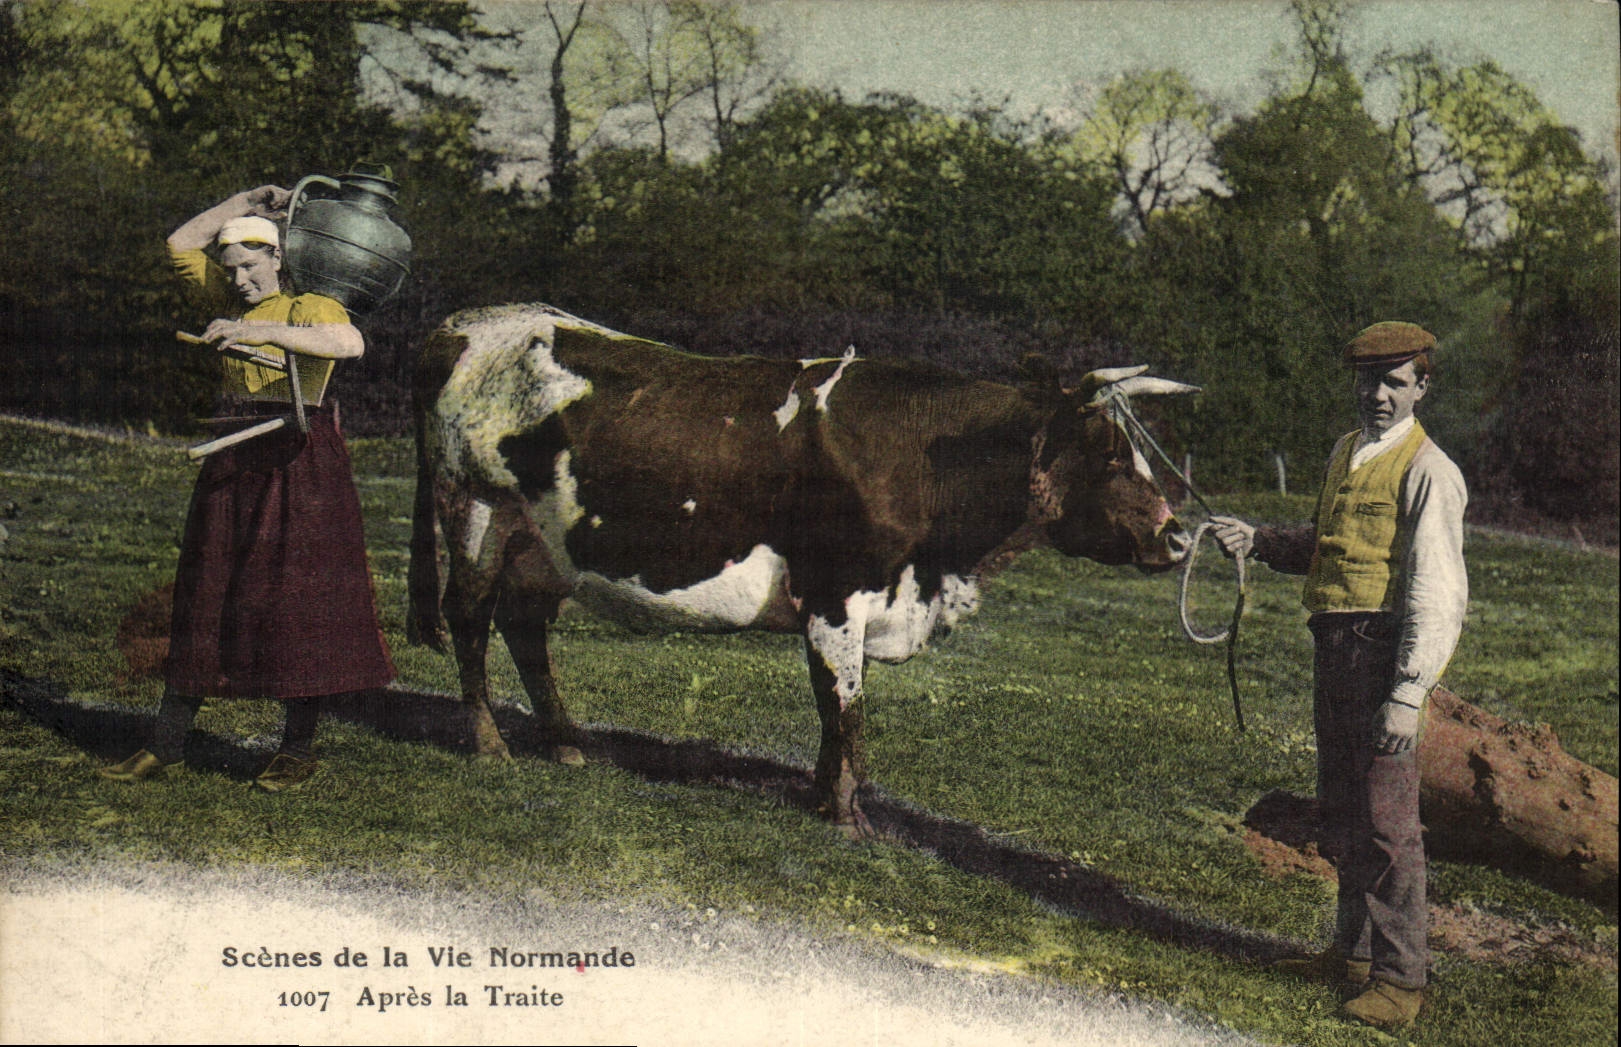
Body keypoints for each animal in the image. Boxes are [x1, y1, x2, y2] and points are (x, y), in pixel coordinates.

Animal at [408, 304, 1196, 832]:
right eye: (1107, 453)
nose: (1177, 536)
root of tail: (465, 324)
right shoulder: (835, 589)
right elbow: (843, 702)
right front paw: (848, 816)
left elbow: (838, 701)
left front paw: (826, 796)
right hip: (476, 506)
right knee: (469, 619)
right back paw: (489, 744)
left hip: (540, 543)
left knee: (525, 629)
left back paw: (566, 744)